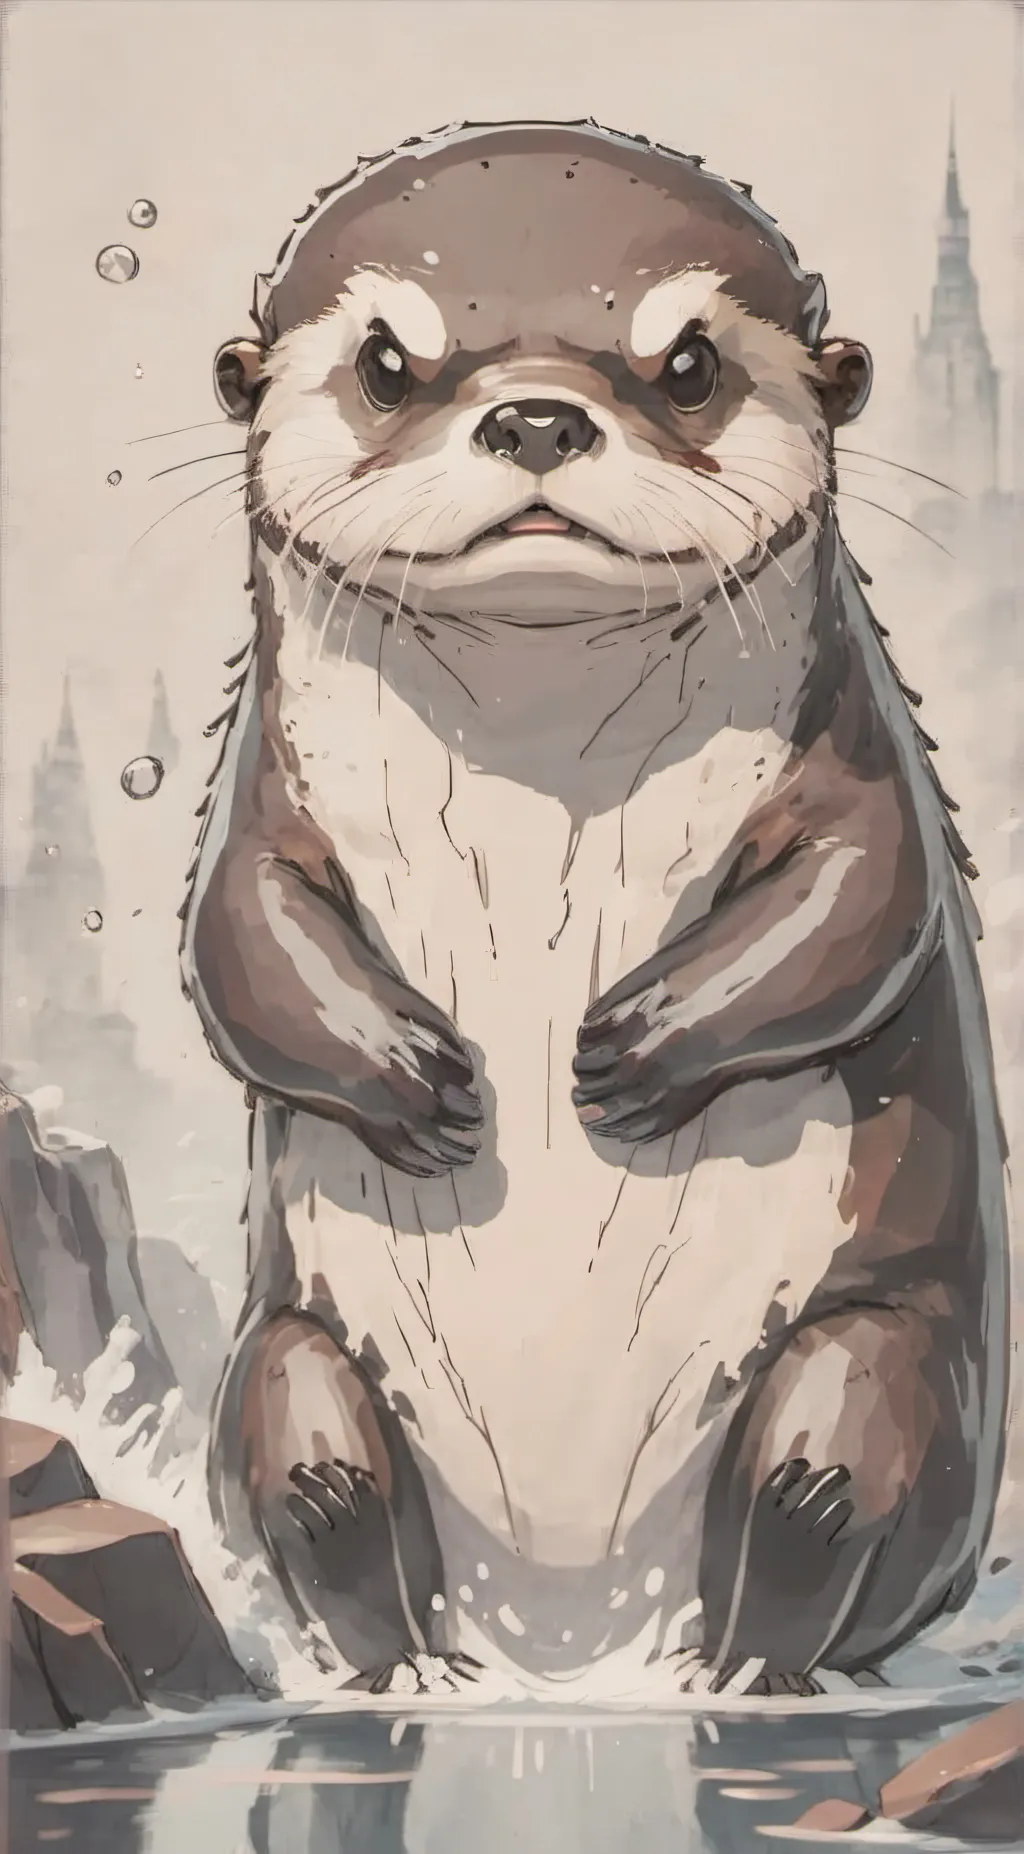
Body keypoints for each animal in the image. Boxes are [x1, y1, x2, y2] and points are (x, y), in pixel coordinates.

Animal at [181, 119, 1009, 1697]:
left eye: (685, 363)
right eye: (388, 362)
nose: (538, 420)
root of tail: (573, 1646)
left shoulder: (852, 745)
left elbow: (863, 899)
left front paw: (625, 1051)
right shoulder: (262, 794)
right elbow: (235, 944)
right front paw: (425, 1077)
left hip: (877, 1368)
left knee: (818, 1485)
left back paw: (740, 1671)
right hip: (288, 1368)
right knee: (321, 1487)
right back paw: (413, 1674)